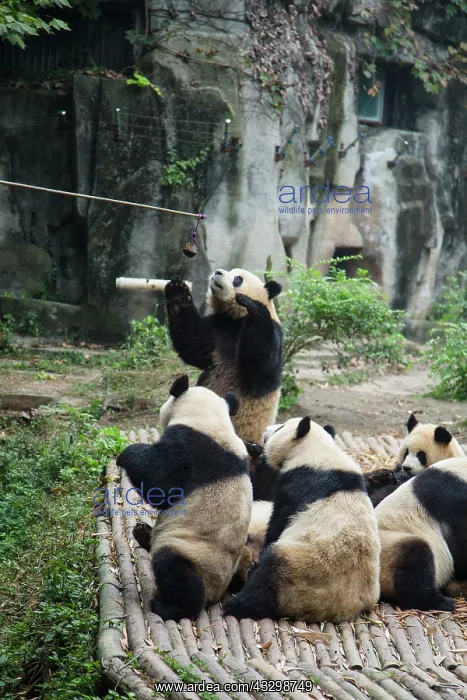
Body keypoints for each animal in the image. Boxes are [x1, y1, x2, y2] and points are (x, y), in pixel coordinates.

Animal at [116, 374, 252, 621]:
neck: (211, 421)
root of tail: (217, 593)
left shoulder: (189, 453)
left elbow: (159, 481)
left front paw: (126, 454)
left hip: (194, 553)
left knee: (176, 571)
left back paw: (169, 607)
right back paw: (143, 532)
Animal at [164, 269, 283, 445]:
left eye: (238, 279)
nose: (217, 272)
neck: (235, 319)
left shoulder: (274, 333)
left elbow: (262, 366)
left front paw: (253, 306)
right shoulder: (218, 328)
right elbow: (194, 344)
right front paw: (178, 292)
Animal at [224, 417, 381, 622]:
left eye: (280, 427)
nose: (266, 430)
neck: (314, 449)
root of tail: (343, 608)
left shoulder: (298, 483)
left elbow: (279, 520)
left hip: (302, 568)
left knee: (268, 578)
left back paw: (237, 603)